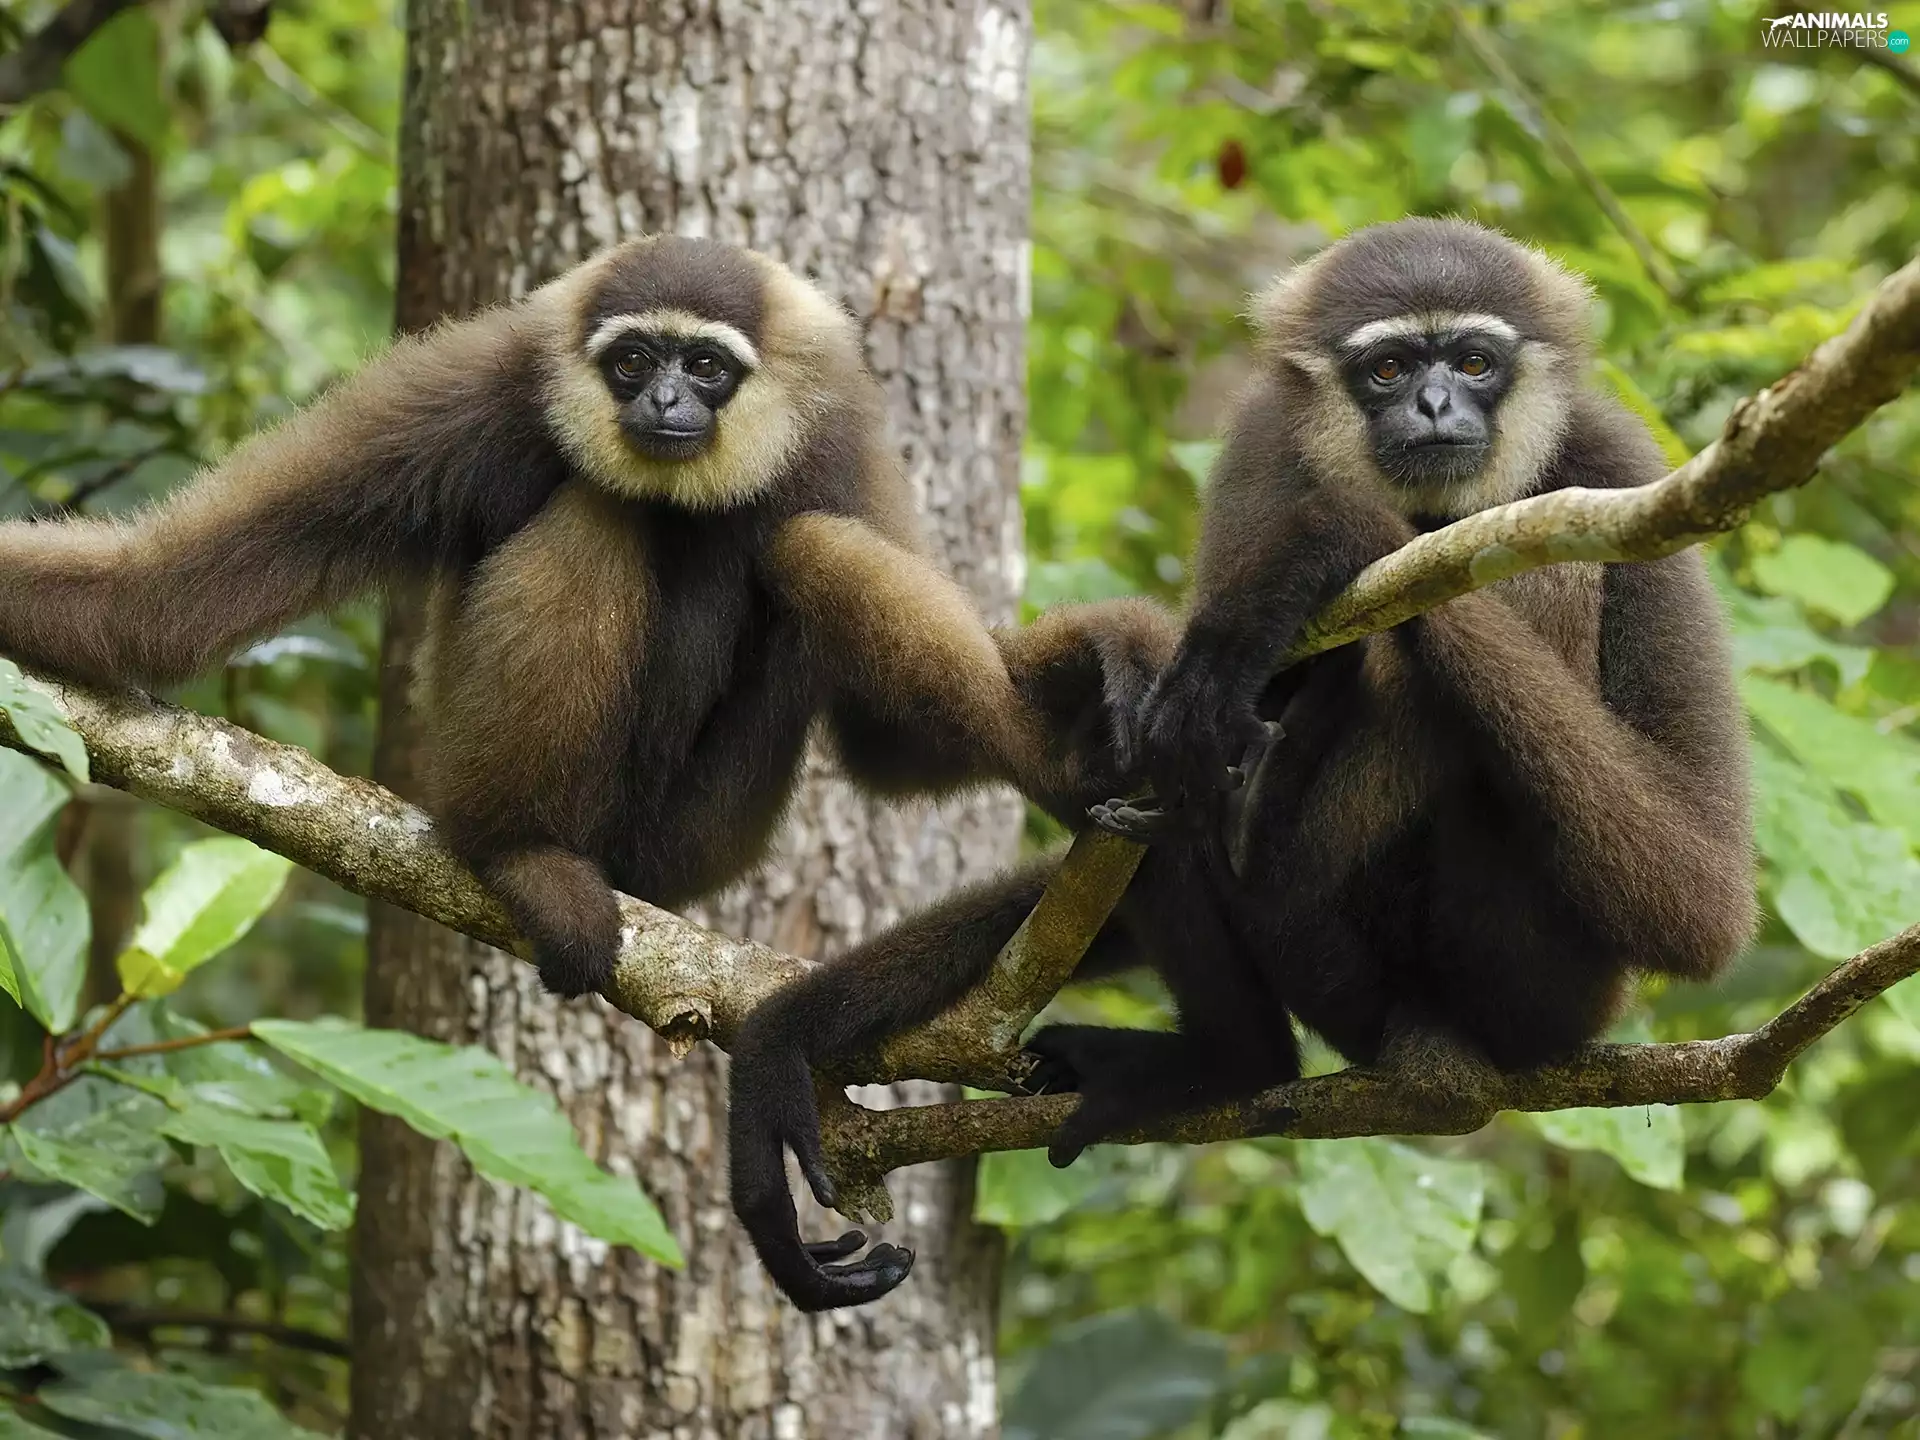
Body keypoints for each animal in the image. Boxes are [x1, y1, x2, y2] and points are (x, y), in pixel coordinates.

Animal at [0, 234, 1155, 1017]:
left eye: (706, 367)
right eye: (634, 360)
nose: (666, 404)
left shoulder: (842, 443)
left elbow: (889, 750)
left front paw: (1087, 653)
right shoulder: (478, 389)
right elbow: (159, 598)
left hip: (696, 841)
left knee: (807, 547)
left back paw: (1071, 776)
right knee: (599, 520)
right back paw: (521, 853)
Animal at [727, 216, 1756, 1312]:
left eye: (1475, 362)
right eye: (1390, 369)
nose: (1436, 404)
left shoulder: (1618, 461)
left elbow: (1697, 899)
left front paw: (1326, 543)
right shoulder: (1264, 445)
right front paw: (787, 1036)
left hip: (1546, 991)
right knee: (1182, 792)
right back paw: (1232, 1054)